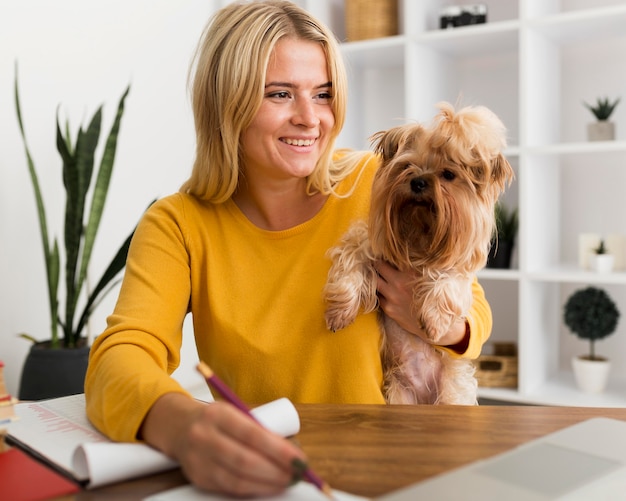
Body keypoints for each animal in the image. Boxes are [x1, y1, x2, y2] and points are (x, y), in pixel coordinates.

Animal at [322, 103, 512, 404]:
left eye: (448, 174)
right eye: (406, 167)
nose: (419, 182)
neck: (417, 236)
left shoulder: (457, 268)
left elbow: (446, 280)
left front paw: (433, 323)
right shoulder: (366, 242)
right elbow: (350, 264)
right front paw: (340, 312)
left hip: (453, 393)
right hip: (401, 393)